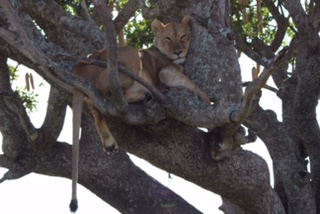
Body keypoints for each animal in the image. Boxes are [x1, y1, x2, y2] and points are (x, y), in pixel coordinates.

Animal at [69, 15, 210, 212]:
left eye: (183, 36)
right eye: (168, 38)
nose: (178, 52)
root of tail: (80, 66)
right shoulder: (166, 72)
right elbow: (198, 89)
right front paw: (210, 105)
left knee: (97, 107)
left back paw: (109, 141)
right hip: (131, 55)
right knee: (114, 95)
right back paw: (148, 94)